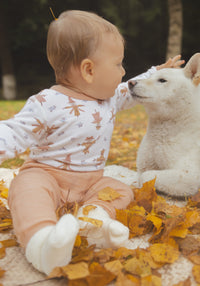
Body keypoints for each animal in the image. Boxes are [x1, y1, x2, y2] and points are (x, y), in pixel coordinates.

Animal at [127, 53, 200, 197]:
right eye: (149, 77)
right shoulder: (143, 163)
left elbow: (145, 176)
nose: (131, 82)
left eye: (162, 80)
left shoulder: (190, 175)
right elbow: (140, 175)